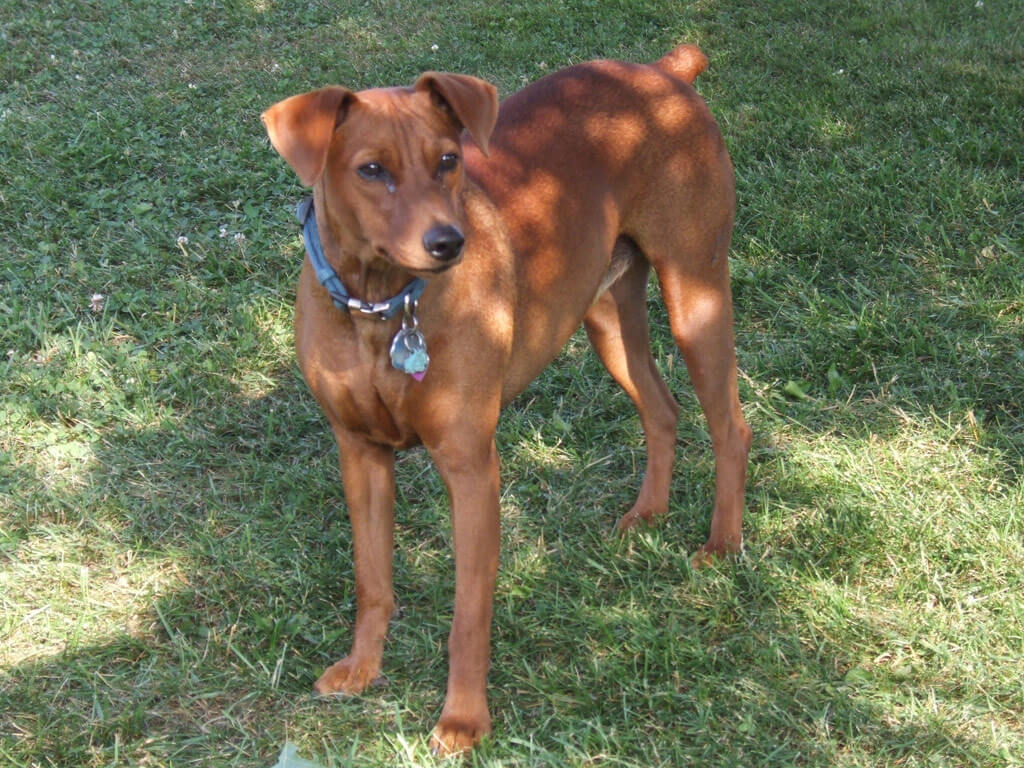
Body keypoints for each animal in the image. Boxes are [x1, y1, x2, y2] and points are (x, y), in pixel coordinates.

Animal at [260, 45, 749, 753]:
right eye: (371, 170)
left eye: (448, 160)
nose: (448, 242)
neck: (381, 306)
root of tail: (663, 70)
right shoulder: (361, 454)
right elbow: (372, 581)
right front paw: (362, 668)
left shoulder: (471, 470)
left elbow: (468, 615)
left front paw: (463, 719)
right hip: (607, 315)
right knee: (663, 408)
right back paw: (648, 513)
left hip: (696, 296)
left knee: (731, 426)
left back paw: (722, 545)